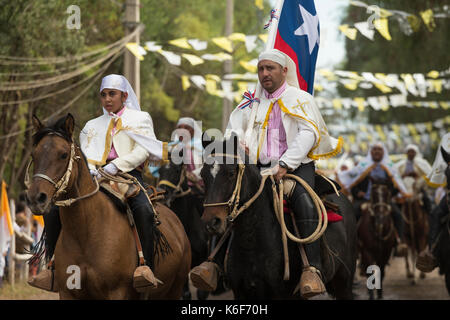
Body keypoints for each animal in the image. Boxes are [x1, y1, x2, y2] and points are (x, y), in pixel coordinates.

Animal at [25, 114, 192, 300]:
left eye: (63, 154)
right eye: (34, 154)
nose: (36, 198)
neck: (86, 232)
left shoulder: (117, 292)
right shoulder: (68, 292)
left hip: (175, 290)